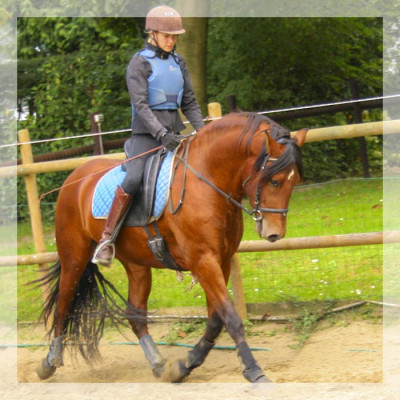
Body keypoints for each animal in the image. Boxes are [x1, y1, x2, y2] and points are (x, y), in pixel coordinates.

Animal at [36, 112, 308, 384]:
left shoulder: (221, 261)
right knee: (63, 304)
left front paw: (185, 365)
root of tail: (74, 178)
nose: (274, 233)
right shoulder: (203, 261)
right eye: (275, 181)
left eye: (295, 181)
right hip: (74, 257)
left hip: (136, 265)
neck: (207, 180)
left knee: (135, 315)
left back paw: (158, 365)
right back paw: (49, 362)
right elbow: (231, 318)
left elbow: (215, 320)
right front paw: (254, 370)